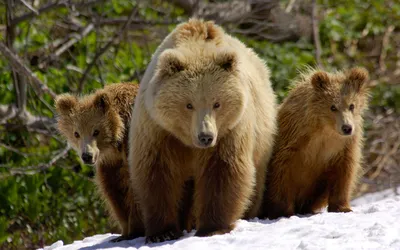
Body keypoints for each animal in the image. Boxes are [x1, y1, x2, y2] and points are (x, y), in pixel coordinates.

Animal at [55, 83, 144, 241]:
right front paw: (123, 232)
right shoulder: (110, 164)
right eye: (76, 133)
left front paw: (135, 230)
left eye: (96, 131)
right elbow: (113, 191)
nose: (87, 156)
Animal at [130, 18, 276, 243]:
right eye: (189, 104)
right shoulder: (158, 129)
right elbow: (157, 173)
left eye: (217, 103)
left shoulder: (230, 130)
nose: (205, 136)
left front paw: (212, 227)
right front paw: (162, 232)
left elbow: (223, 170)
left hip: (262, 136)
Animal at [260, 66, 370, 219]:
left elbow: (344, 172)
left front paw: (342, 207)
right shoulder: (294, 140)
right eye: (333, 107)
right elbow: (282, 172)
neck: (325, 129)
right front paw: (282, 211)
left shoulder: (344, 146)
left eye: (351, 105)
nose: (347, 127)